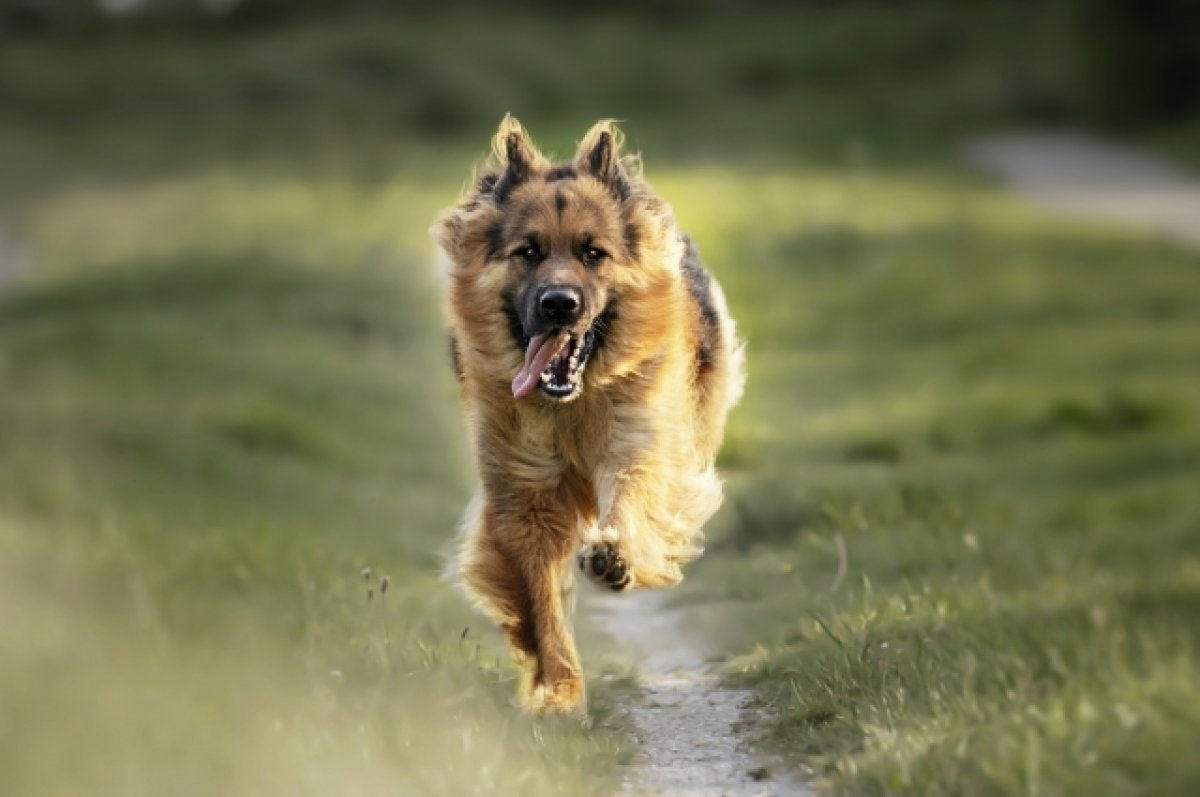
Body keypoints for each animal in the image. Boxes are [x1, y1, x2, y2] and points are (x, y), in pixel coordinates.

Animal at [436, 115, 744, 710]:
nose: (559, 304)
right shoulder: (525, 493)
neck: (571, 405)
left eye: (592, 253)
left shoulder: (639, 444)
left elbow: (633, 498)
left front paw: (614, 555)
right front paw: (560, 689)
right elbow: (541, 599)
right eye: (529, 252)